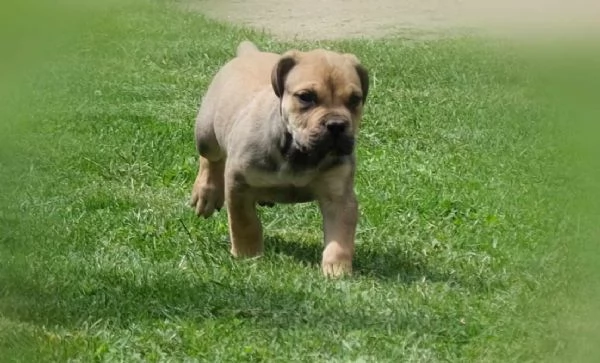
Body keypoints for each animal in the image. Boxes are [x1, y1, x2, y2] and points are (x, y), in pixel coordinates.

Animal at [192, 41, 368, 278]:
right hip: (206, 133)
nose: (337, 125)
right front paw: (247, 255)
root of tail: (249, 54)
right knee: (211, 159)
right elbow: (244, 222)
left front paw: (337, 269)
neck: (298, 152)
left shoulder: (339, 197)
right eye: (306, 97)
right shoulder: (239, 184)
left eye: (355, 100)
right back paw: (206, 193)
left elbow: (340, 237)